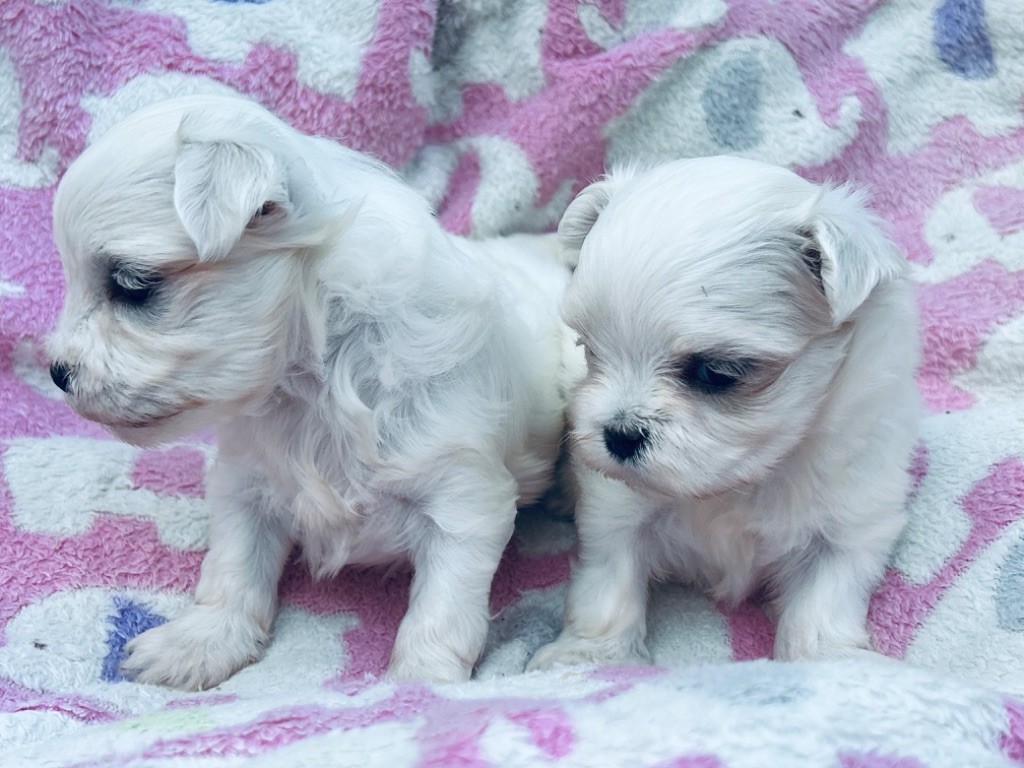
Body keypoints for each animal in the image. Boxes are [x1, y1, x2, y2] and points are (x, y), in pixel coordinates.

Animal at [48, 96, 573, 692]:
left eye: (132, 285)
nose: (57, 372)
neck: (306, 386)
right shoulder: (244, 478)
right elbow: (233, 566)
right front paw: (200, 642)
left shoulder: (464, 498)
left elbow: (442, 608)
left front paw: (420, 681)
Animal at [532, 159, 917, 671]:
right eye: (590, 350)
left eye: (716, 372)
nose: (620, 435)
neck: (739, 483)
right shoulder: (616, 508)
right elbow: (608, 580)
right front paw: (589, 657)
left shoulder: (853, 520)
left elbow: (825, 598)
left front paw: (830, 662)